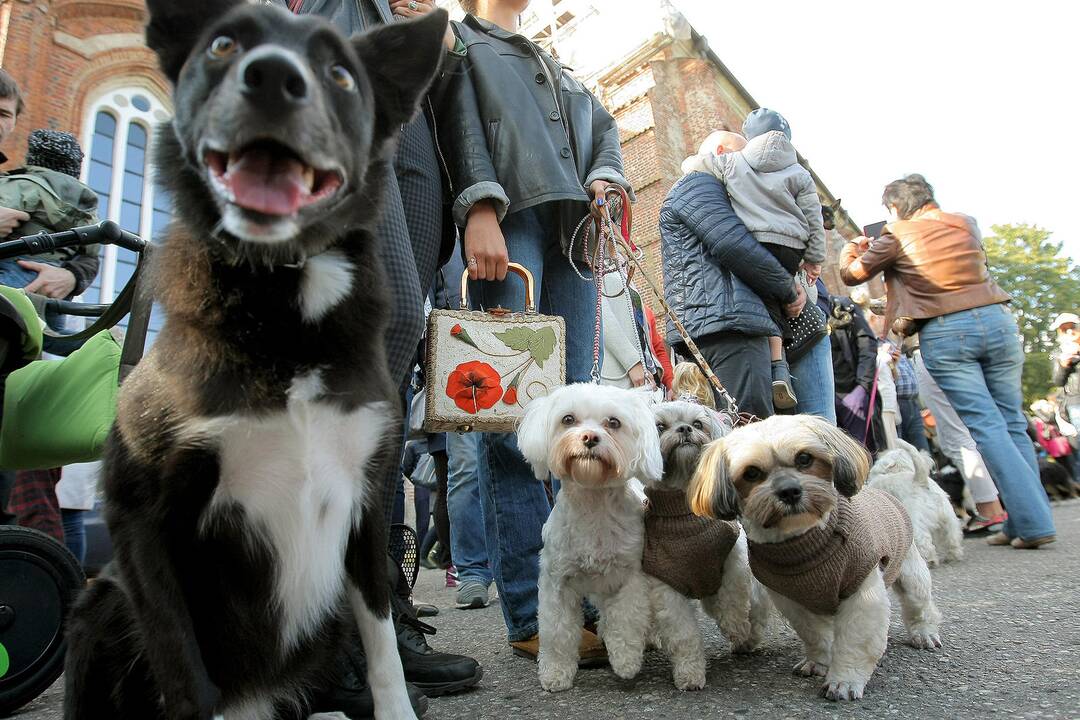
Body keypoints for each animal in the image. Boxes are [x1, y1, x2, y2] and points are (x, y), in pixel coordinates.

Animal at [65, 2, 444, 716]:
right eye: (222, 44)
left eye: (339, 73)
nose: (271, 79)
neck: (285, 309)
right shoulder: (139, 518)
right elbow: (183, 672)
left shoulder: (366, 504)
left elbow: (383, 644)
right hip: (100, 599)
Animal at [516, 382, 660, 690]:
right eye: (568, 419)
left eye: (614, 423)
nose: (590, 437)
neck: (594, 504)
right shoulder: (556, 582)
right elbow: (557, 632)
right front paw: (556, 673)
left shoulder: (629, 577)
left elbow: (626, 619)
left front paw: (626, 662)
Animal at [639, 403, 768, 690]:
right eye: (660, 426)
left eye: (698, 424)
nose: (685, 429)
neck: (684, 514)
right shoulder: (666, 586)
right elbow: (683, 634)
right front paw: (690, 674)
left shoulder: (733, 556)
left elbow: (734, 598)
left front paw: (736, 627)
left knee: (755, 608)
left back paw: (747, 638)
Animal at [686, 414, 941, 699]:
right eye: (751, 473)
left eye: (804, 458)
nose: (789, 491)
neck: (803, 541)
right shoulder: (792, 601)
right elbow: (814, 633)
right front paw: (819, 661)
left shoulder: (863, 596)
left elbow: (854, 641)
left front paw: (844, 680)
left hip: (911, 576)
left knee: (920, 606)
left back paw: (924, 634)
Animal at [868, 440, 963, 569]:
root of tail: (921, 482)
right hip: (948, 519)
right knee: (952, 537)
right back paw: (952, 555)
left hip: (917, 524)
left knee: (925, 544)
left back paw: (929, 561)